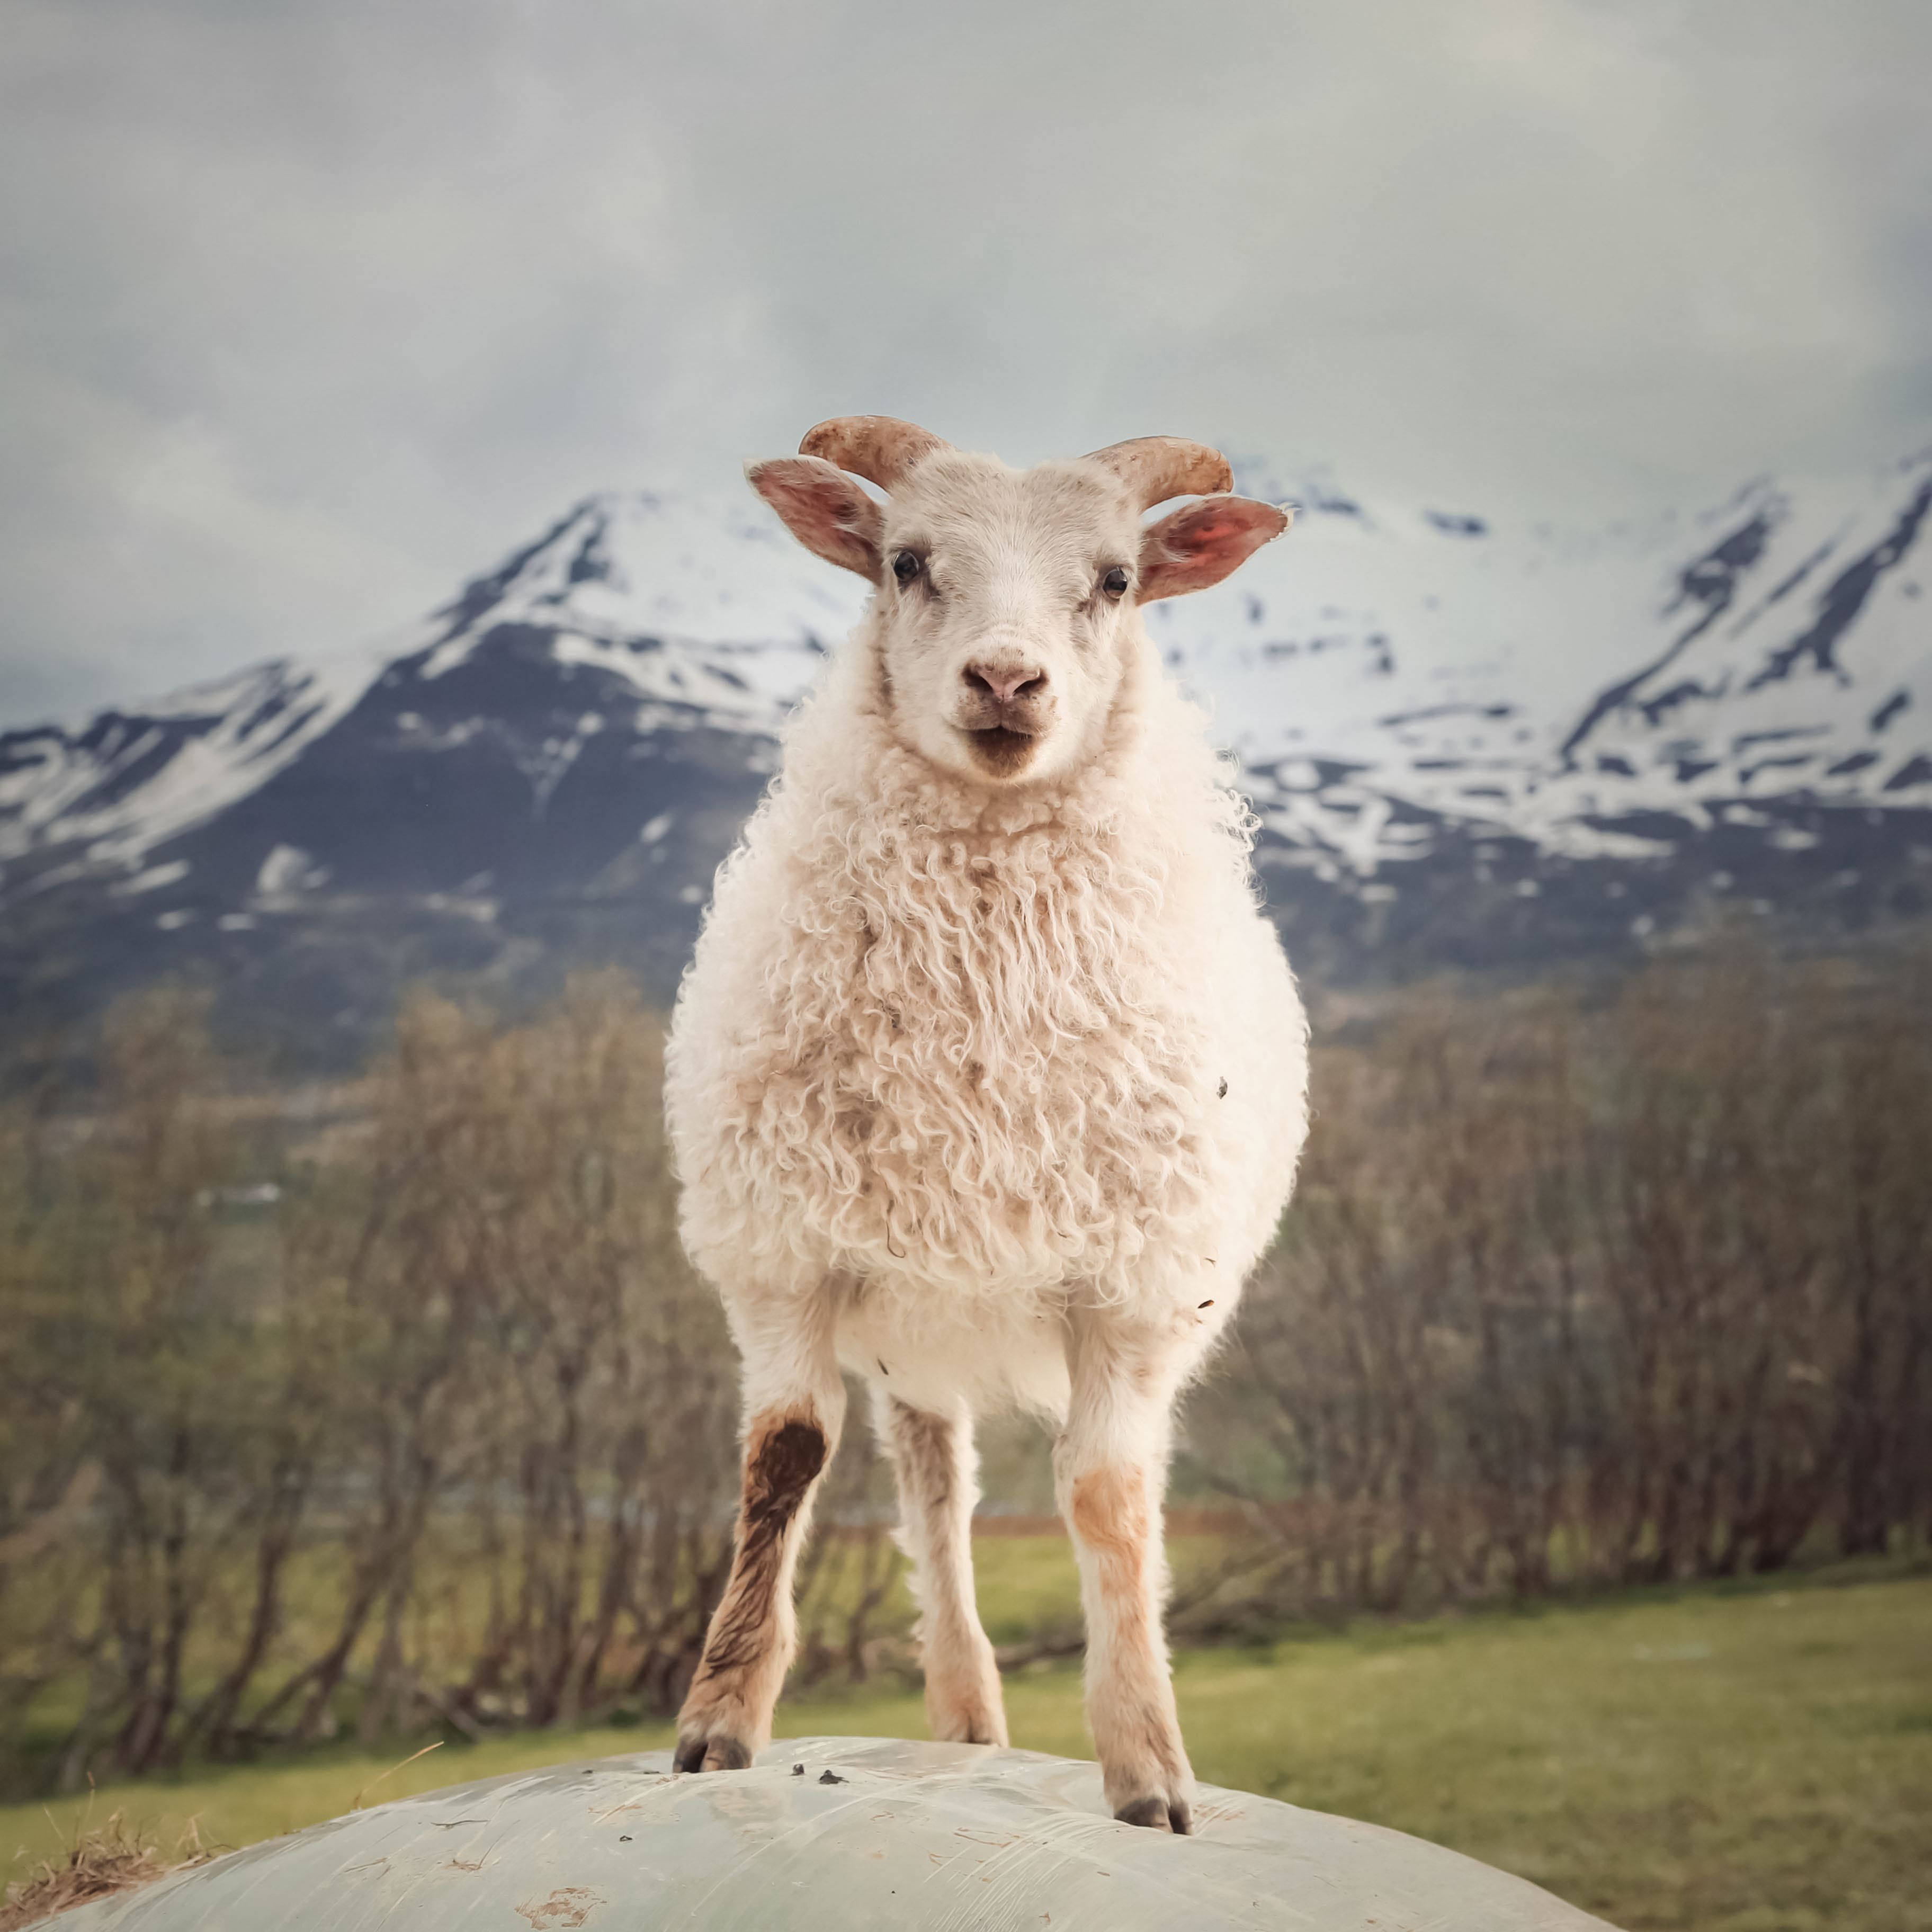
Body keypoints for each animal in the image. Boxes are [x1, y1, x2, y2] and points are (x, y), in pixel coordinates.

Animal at [665, 416, 1309, 1833]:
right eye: (905, 562)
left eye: (1117, 579)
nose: (1007, 680)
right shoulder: (785, 1251)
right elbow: (784, 1458)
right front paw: (718, 1722)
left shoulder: (1137, 1286)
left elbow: (1109, 1498)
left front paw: (1149, 1769)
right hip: (911, 1303)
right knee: (934, 1483)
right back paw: (964, 1716)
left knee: (953, 1482)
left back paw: (975, 1726)